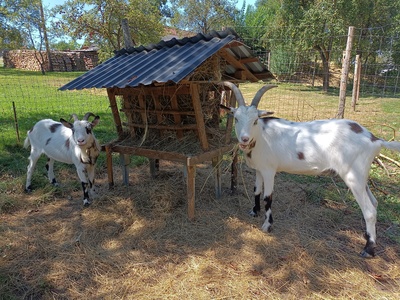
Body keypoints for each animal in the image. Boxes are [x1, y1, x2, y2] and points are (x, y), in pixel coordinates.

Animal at [220, 82, 400, 258]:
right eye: (236, 118)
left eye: (256, 120)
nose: (244, 139)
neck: (261, 137)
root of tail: (374, 139)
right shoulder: (259, 169)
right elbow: (256, 190)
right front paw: (254, 211)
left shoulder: (269, 170)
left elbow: (267, 197)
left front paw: (267, 225)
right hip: (361, 176)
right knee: (374, 202)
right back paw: (368, 238)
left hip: (353, 176)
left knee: (369, 210)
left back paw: (368, 250)